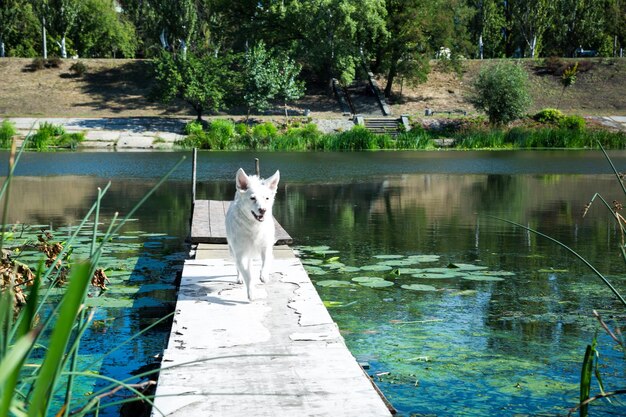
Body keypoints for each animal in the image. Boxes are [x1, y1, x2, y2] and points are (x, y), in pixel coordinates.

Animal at [225, 167, 280, 300]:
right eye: (252, 198)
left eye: (267, 198)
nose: (263, 210)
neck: (254, 226)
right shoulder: (241, 254)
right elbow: (248, 276)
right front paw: (251, 292)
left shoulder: (266, 247)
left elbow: (266, 261)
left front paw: (264, 275)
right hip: (232, 250)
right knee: (237, 267)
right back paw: (239, 278)